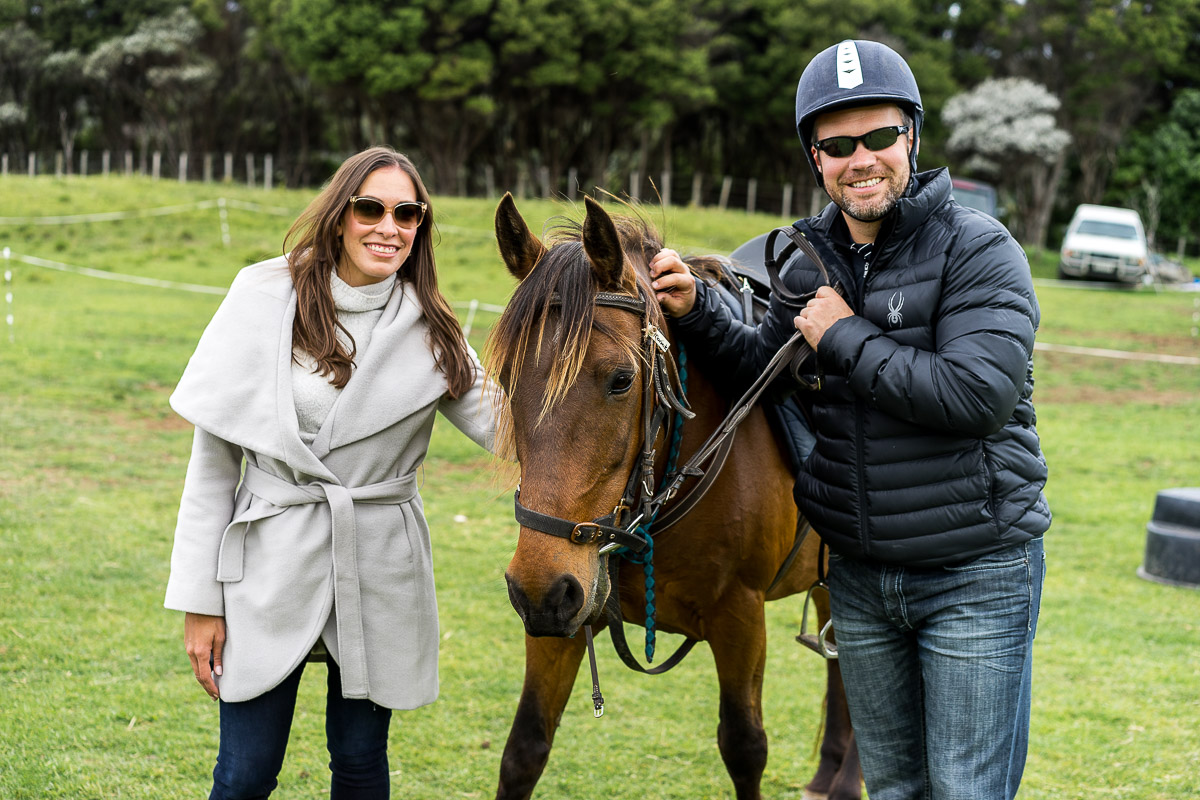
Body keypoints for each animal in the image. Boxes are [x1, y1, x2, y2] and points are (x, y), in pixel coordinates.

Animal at [482, 195, 859, 800]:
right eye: (505, 377)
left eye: (620, 380)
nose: (539, 590)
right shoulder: (562, 614)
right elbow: (524, 749)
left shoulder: (740, 617)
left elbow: (744, 747)